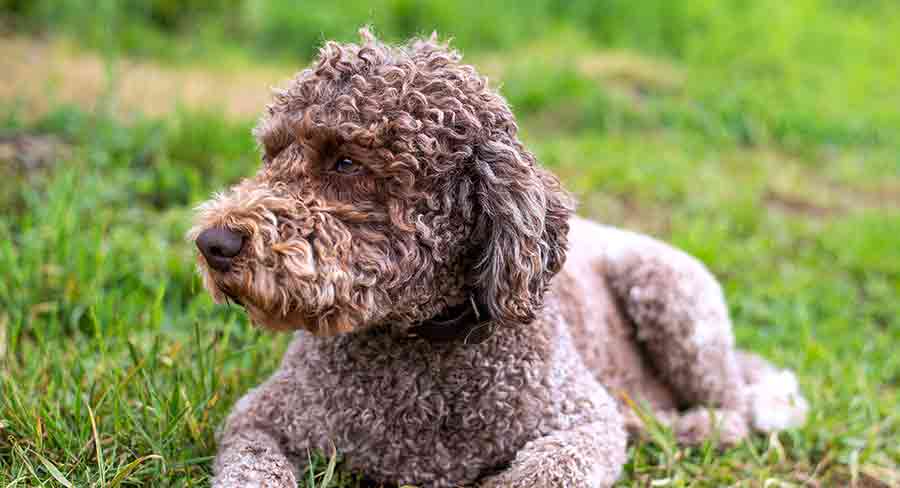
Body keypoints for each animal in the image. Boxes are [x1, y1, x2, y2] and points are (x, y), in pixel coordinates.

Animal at [190, 29, 808, 488]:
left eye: (345, 161)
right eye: (270, 153)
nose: (212, 243)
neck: (421, 343)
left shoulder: (583, 424)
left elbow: (543, 468)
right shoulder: (262, 418)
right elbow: (253, 468)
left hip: (673, 298)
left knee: (731, 412)